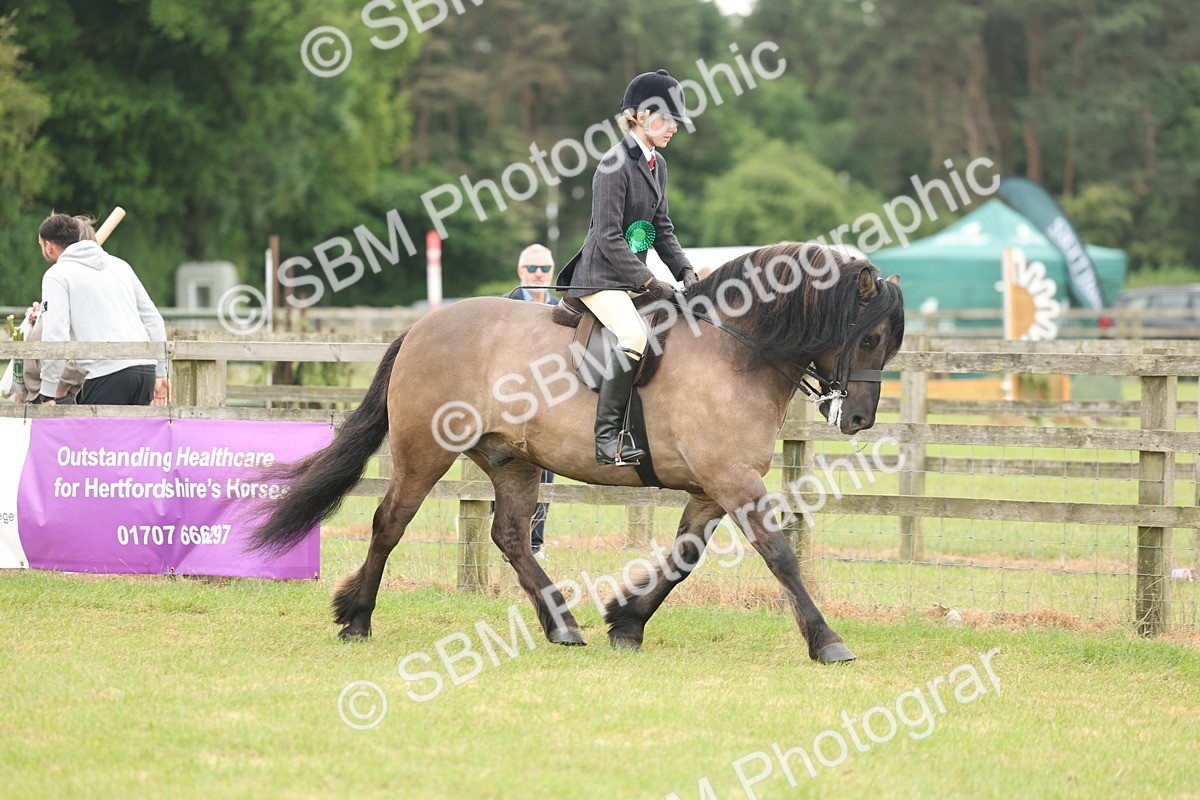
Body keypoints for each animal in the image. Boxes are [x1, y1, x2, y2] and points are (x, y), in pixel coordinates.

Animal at [249, 242, 904, 663]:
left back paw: (562, 625)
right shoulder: (733, 482)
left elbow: (685, 557)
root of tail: (421, 327)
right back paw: (356, 618)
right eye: (870, 336)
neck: (737, 351)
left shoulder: (711, 488)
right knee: (390, 523)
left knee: (511, 536)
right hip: (424, 452)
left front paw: (626, 622)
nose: (860, 419)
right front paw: (828, 642)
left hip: (513, 460)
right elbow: (780, 556)